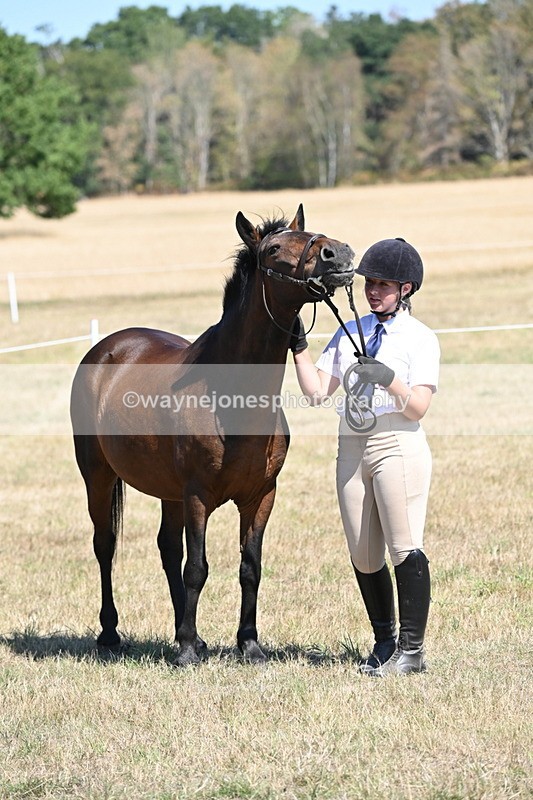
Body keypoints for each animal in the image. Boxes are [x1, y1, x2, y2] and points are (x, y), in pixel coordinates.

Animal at [70, 204, 355, 665]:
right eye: (274, 250)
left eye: (309, 233)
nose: (339, 254)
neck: (231, 396)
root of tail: (106, 349)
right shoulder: (198, 495)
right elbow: (197, 567)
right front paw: (187, 650)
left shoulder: (261, 496)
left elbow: (249, 567)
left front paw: (248, 644)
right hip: (98, 476)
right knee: (105, 545)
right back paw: (112, 633)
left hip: (168, 492)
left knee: (167, 549)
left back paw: (186, 634)